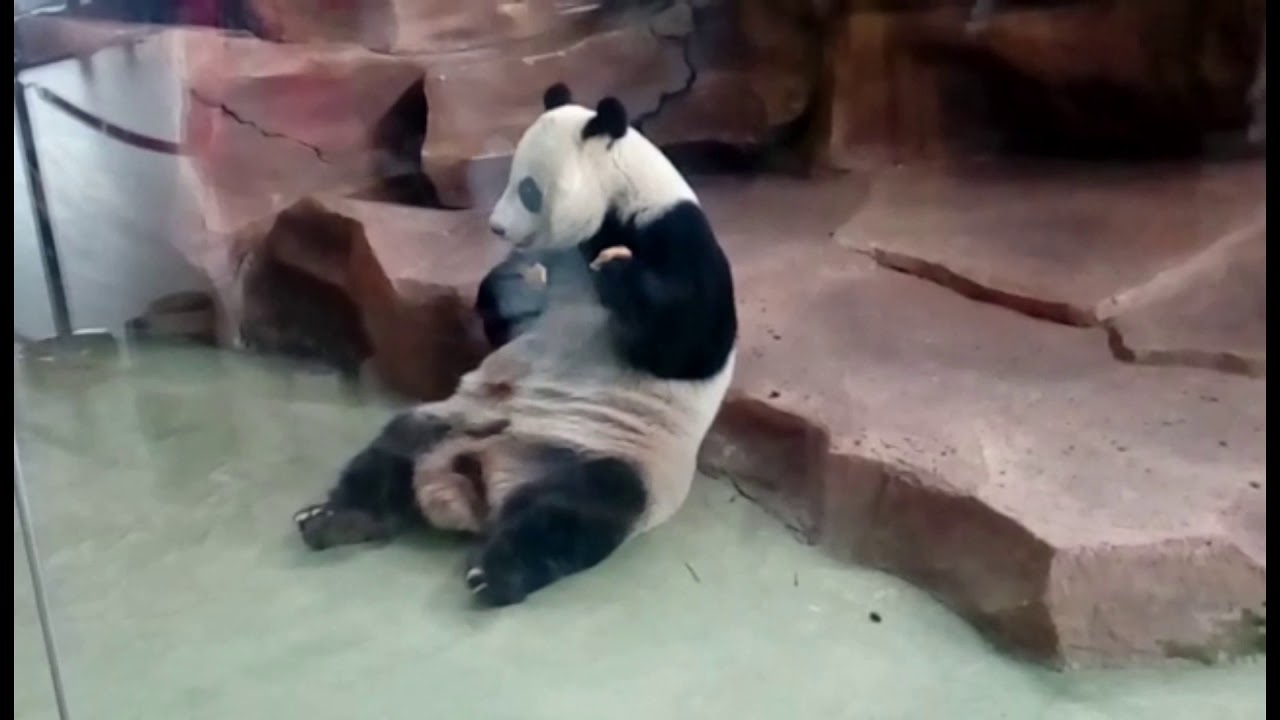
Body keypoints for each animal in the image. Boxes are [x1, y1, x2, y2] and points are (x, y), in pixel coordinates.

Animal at [292, 82, 738, 607]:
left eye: (528, 190)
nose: (497, 229)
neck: (617, 203)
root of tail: (480, 476)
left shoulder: (676, 236)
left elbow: (691, 342)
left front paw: (617, 273)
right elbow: (503, 317)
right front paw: (517, 280)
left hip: (612, 455)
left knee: (572, 511)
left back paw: (496, 572)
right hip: (457, 419)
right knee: (393, 449)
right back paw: (335, 519)